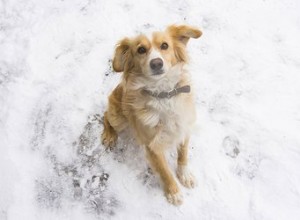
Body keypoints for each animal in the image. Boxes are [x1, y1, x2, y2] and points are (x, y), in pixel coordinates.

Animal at [102, 24, 203, 205]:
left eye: (165, 45)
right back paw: (109, 135)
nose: (156, 63)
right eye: (141, 49)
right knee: (105, 115)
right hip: (119, 118)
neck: (163, 94)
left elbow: (183, 155)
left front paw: (184, 175)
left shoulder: (183, 126)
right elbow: (164, 171)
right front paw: (173, 192)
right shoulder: (152, 145)